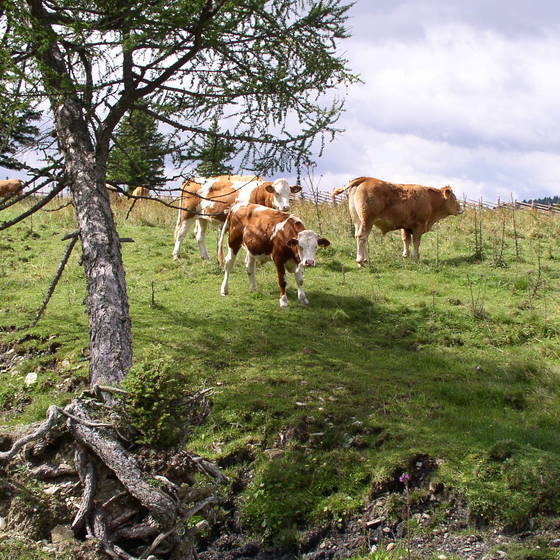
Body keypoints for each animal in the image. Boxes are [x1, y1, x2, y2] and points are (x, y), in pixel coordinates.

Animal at [173, 174, 302, 262]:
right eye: (277, 193)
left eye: (289, 193)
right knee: (180, 233)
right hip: (187, 214)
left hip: (202, 217)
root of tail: (192, 179)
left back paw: (205, 256)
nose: (286, 207)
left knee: (200, 235)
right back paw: (176, 256)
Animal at [332, 175, 464, 264]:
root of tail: (366, 178)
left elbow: (406, 240)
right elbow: (416, 242)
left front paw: (406, 255)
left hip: (357, 221)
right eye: (454, 198)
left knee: (360, 237)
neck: (429, 200)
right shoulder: (418, 226)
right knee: (362, 236)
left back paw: (366, 259)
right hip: (367, 220)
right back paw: (361, 261)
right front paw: (416, 258)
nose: (460, 209)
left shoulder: (405, 226)